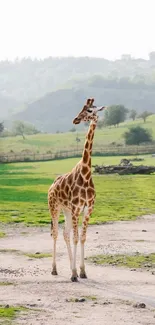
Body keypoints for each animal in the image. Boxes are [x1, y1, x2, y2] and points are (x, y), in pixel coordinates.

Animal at [47, 97, 106, 280]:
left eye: (90, 110)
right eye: (82, 108)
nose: (75, 119)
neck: (86, 174)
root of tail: (51, 186)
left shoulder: (87, 209)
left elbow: (82, 238)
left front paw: (82, 271)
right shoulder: (76, 209)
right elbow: (75, 237)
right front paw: (74, 274)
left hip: (66, 210)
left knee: (65, 233)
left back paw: (68, 268)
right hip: (55, 207)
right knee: (56, 233)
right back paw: (54, 269)